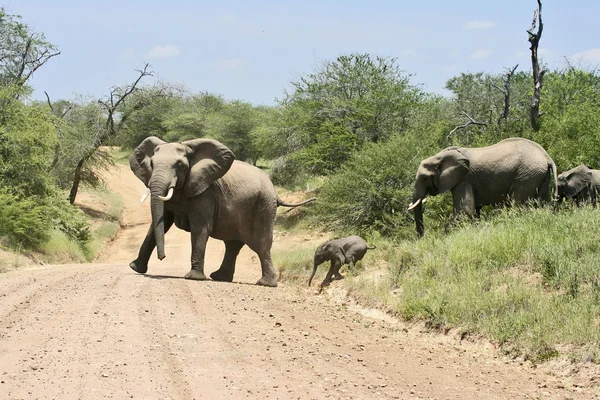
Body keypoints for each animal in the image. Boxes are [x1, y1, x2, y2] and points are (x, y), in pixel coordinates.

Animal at [126, 136, 314, 286]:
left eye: (179, 165)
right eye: (151, 164)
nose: (162, 257)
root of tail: (275, 192)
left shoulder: (206, 192)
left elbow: (200, 227)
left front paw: (193, 277)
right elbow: (160, 223)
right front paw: (135, 268)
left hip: (263, 206)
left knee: (261, 245)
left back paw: (265, 284)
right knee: (233, 244)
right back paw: (220, 277)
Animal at [408, 138, 556, 238]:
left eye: (424, 178)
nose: (422, 238)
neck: (439, 156)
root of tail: (547, 156)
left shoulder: (464, 179)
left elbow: (465, 211)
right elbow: (474, 212)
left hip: (526, 176)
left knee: (518, 206)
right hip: (539, 175)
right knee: (540, 203)